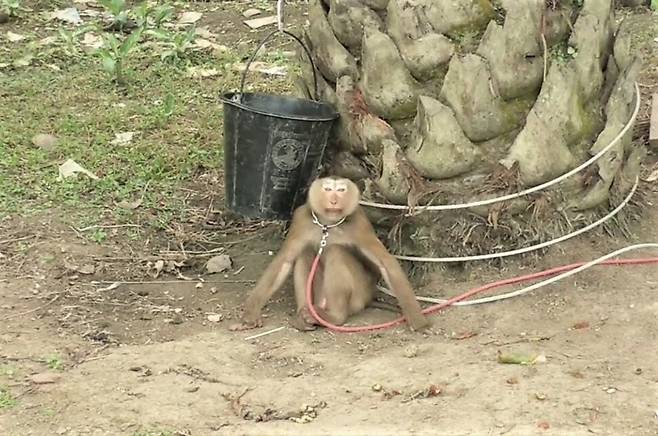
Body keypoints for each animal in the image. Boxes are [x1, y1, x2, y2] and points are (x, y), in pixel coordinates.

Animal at [228, 175, 428, 332]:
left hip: (359, 296)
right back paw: (305, 315)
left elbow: (385, 263)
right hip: (319, 295)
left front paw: (419, 322)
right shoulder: (301, 220)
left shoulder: (359, 223)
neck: (327, 224)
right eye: (328, 189)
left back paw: (334, 317)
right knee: (306, 253)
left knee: (336, 252)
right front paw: (249, 318)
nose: (333, 200)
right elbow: (284, 261)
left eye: (341, 190)